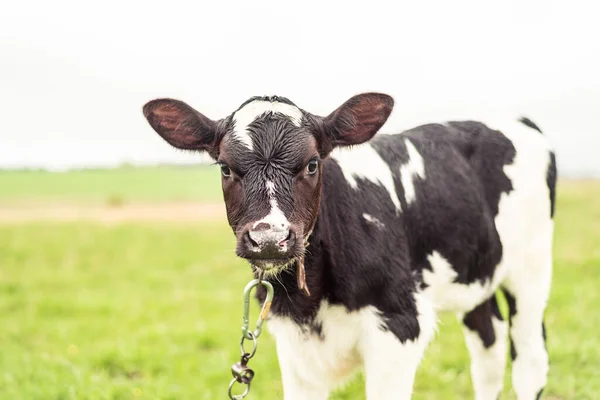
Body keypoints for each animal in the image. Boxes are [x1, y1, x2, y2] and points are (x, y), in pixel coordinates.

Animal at [143, 94, 556, 400]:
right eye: (226, 167)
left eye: (312, 164)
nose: (270, 239)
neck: (313, 300)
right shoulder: (294, 345)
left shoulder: (400, 323)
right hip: (476, 274)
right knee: (489, 346)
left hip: (531, 271)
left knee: (529, 360)